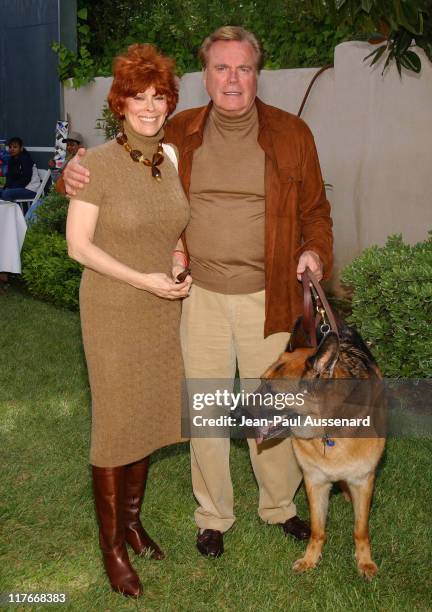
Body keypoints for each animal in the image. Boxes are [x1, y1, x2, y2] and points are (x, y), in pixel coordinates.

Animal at [258, 326, 386, 580]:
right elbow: (317, 530)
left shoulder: (363, 480)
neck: (328, 430)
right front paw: (311, 559)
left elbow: (360, 530)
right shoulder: (315, 482)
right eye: (260, 382)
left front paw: (365, 562)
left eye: (272, 393)